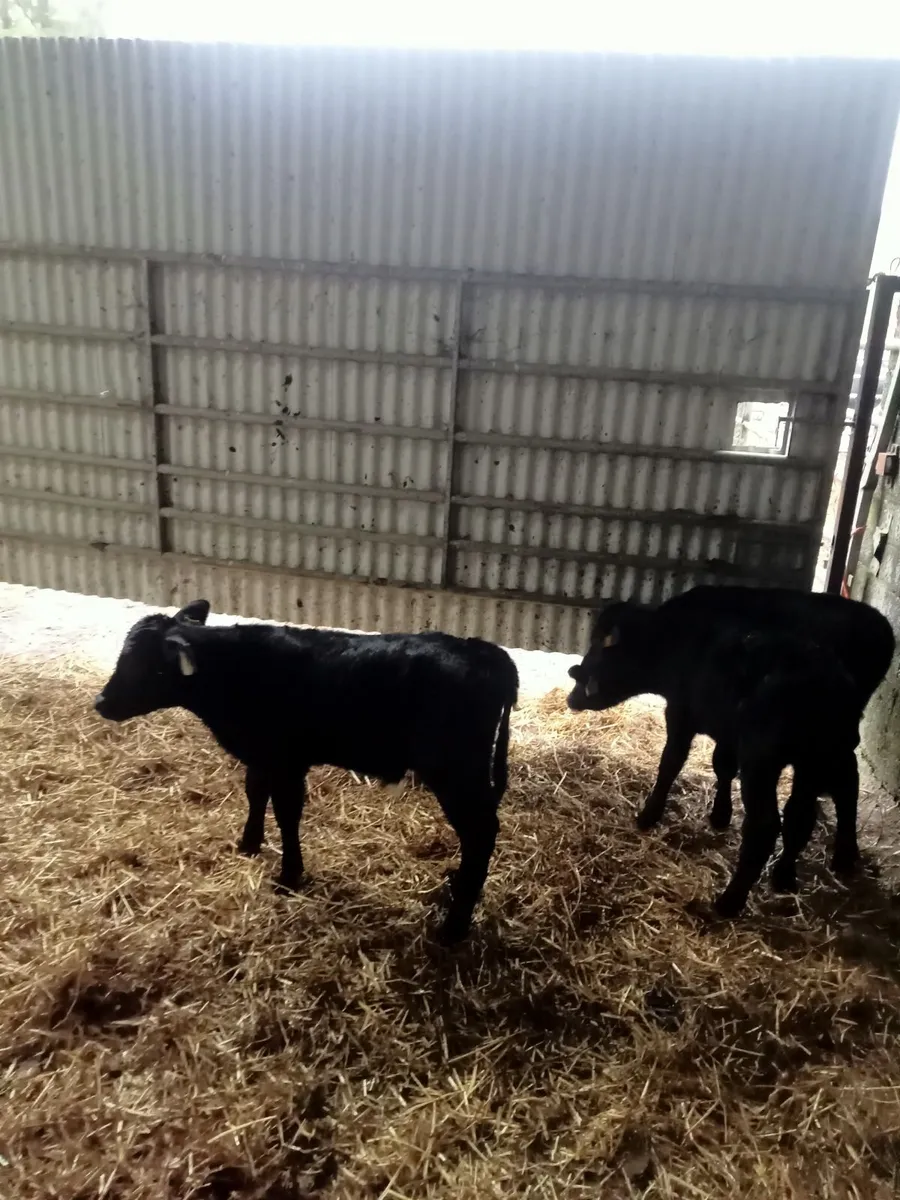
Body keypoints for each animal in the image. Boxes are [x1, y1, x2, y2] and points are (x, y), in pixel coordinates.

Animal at [94, 601, 519, 944]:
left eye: (147, 666)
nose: (101, 702)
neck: (234, 674)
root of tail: (484, 650)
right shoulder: (262, 755)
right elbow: (255, 792)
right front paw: (248, 844)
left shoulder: (286, 760)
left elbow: (287, 813)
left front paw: (289, 875)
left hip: (456, 775)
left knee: (481, 834)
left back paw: (453, 928)